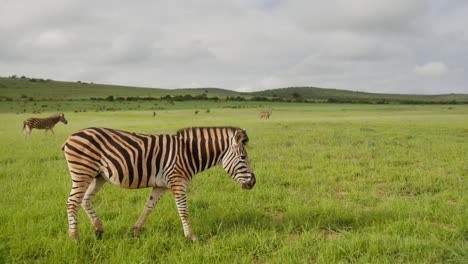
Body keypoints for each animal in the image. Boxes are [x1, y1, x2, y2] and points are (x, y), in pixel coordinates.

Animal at [61, 127, 256, 240]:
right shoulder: (177, 181)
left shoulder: (161, 185)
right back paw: (74, 237)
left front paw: (136, 231)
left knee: (85, 200)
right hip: (82, 172)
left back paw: (99, 230)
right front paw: (191, 236)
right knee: (72, 202)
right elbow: (183, 210)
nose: (253, 182)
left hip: (98, 175)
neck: (189, 153)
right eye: (243, 157)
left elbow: (148, 207)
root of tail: (70, 137)